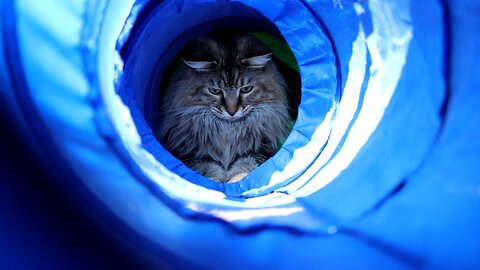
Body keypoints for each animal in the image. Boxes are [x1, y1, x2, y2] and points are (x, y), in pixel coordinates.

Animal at [158, 30, 290, 184]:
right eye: (215, 91)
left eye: (246, 89)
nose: (232, 112)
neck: (228, 130)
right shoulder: (193, 153)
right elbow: (208, 168)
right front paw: (215, 180)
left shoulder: (258, 149)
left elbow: (245, 166)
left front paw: (235, 179)